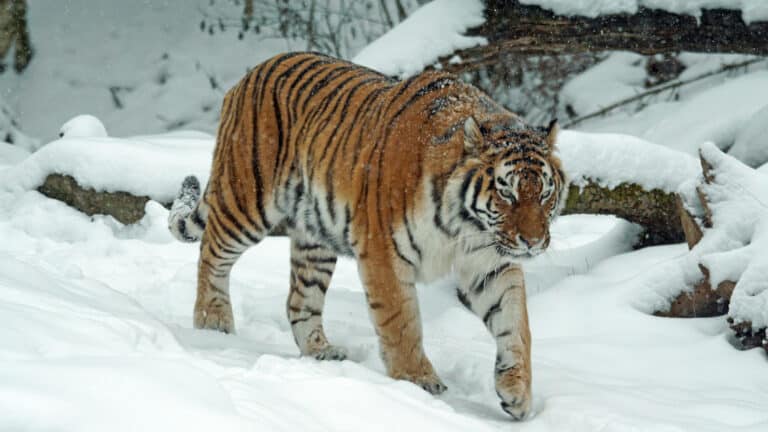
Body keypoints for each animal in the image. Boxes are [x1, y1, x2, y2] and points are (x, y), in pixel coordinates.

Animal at [168, 52, 567, 420]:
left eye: (545, 193)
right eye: (507, 193)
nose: (533, 242)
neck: (465, 226)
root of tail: (250, 73)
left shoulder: (490, 262)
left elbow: (516, 323)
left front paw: (517, 393)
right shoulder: (384, 253)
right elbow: (402, 323)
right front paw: (418, 382)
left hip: (315, 239)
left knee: (299, 300)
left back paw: (321, 352)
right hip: (247, 199)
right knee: (211, 253)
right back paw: (212, 323)